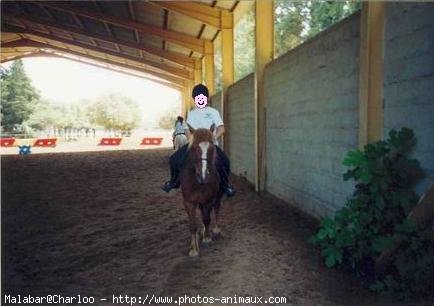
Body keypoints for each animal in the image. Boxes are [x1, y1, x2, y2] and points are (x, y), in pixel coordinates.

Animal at [180, 124, 224, 256]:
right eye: (194, 148)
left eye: (211, 148)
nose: (203, 176)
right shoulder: (189, 202)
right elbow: (192, 225)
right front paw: (193, 249)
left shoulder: (209, 199)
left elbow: (207, 218)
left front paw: (207, 237)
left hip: (218, 195)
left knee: (216, 208)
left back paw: (215, 229)